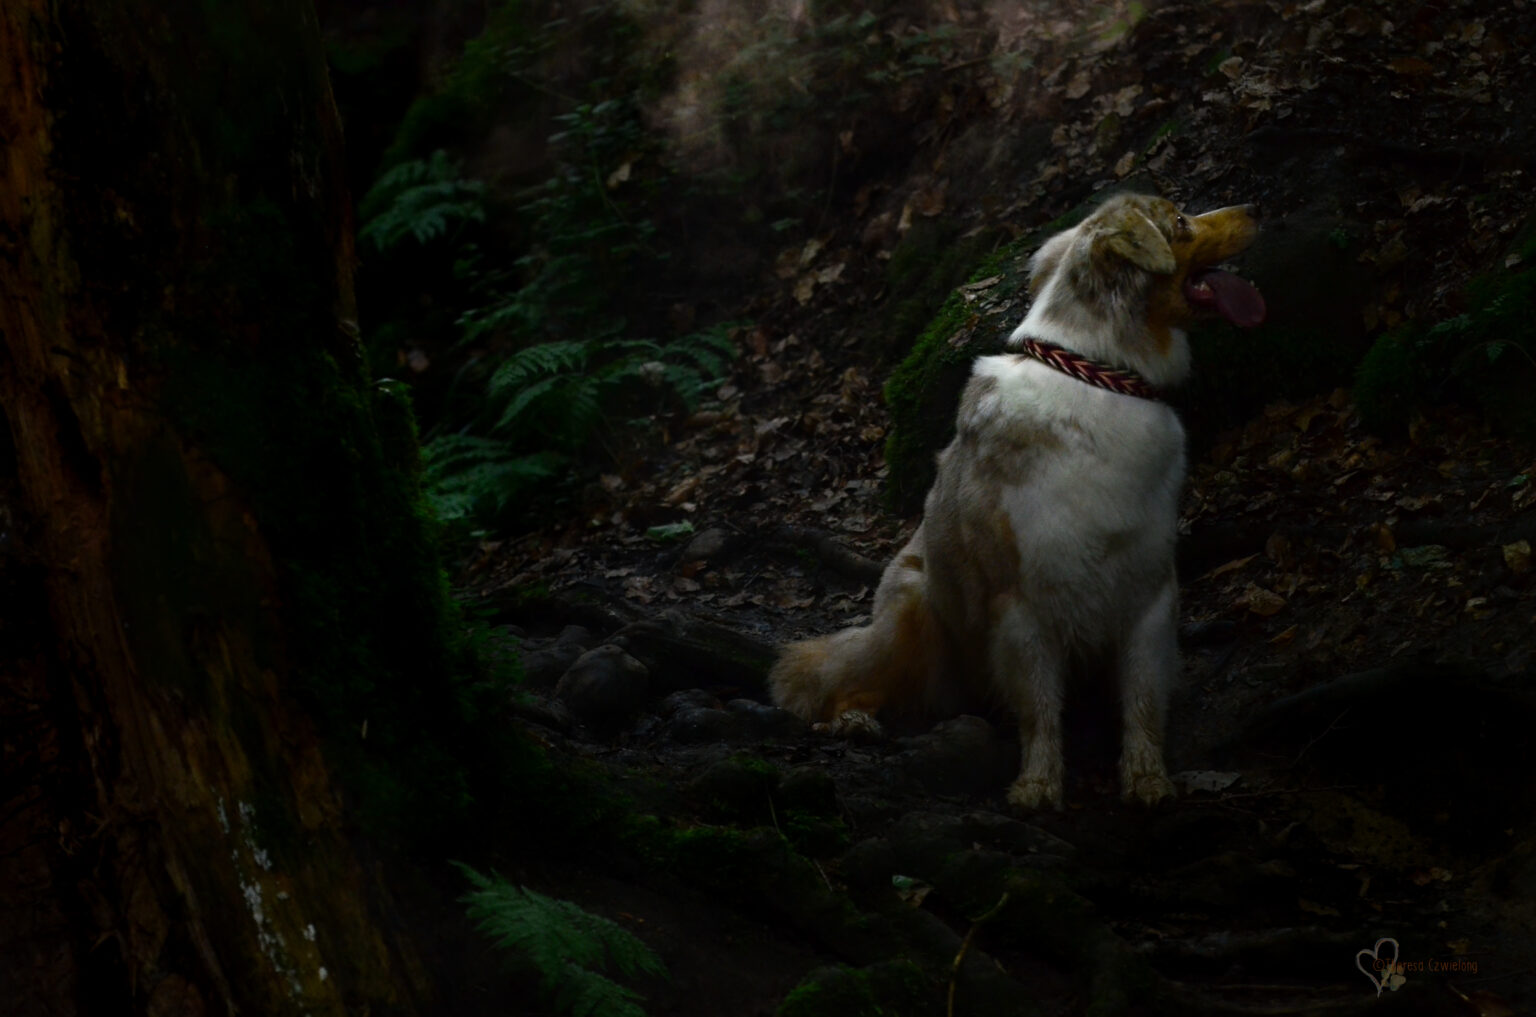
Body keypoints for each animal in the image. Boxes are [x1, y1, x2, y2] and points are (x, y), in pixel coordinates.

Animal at [774, 191, 1265, 811]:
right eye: (1179, 221)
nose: (1255, 208)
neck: (1099, 376)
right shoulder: (1022, 604)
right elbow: (1039, 707)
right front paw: (1037, 786)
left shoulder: (1149, 589)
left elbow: (1143, 698)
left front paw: (1148, 779)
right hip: (913, 606)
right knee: (850, 678)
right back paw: (855, 721)